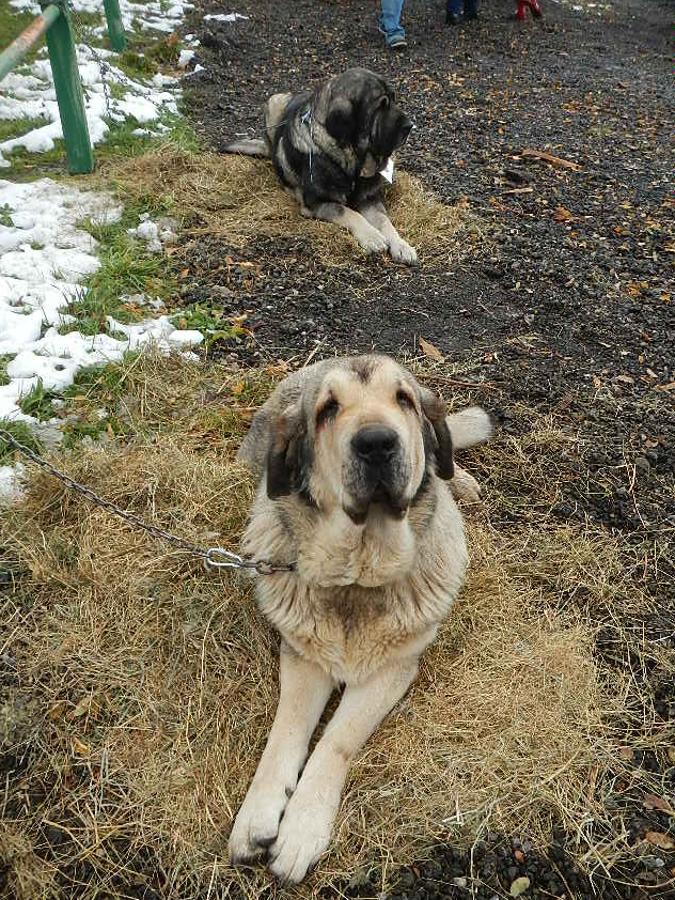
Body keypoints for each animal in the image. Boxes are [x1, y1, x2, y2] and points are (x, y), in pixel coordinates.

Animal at [222, 67, 418, 264]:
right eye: (381, 106)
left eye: (393, 99)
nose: (410, 126)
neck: (349, 159)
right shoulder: (317, 202)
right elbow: (348, 212)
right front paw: (372, 236)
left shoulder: (369, 199)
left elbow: (384, 221)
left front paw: (402, 245)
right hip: (274, 102)